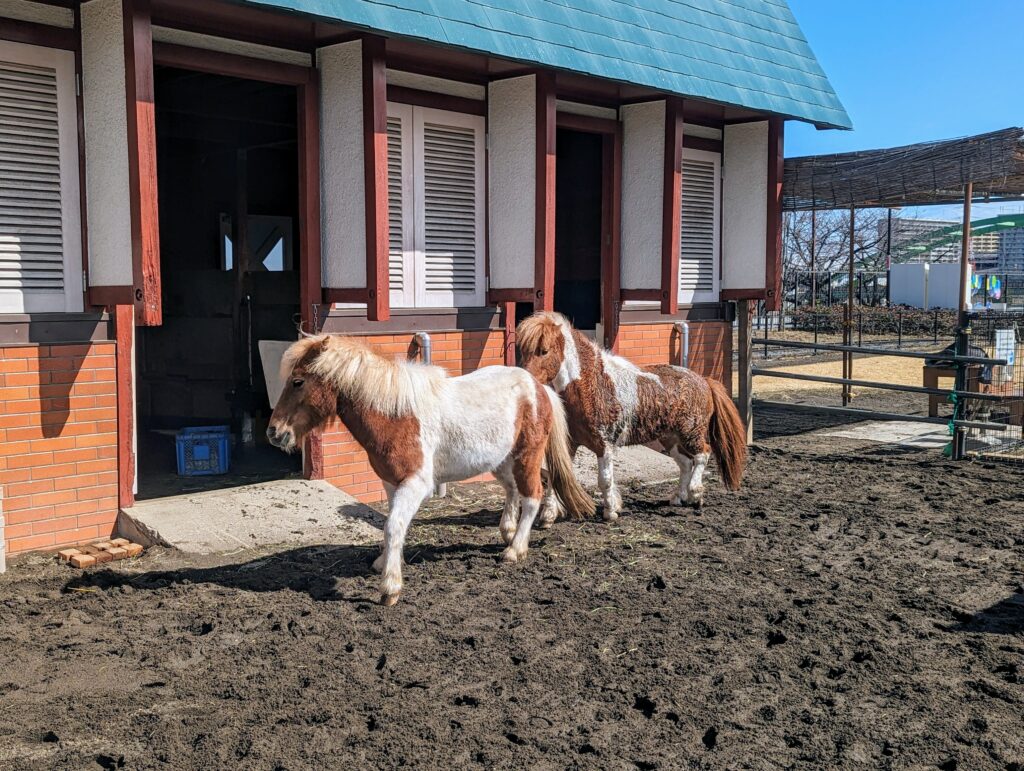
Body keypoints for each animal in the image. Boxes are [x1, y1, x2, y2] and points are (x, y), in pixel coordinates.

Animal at [268, 333, 598, 606]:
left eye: (298, 381)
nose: (274, 432)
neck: (396, 415)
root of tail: (538, 388)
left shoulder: (415, 484)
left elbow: (394, 526)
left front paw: (390, 588)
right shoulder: (392, 483)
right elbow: (392, 524)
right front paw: (384, 563)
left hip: (526, 456)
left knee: (532, 495)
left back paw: (515, 550)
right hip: (501, 462)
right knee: (515, 490)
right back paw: (510, 531)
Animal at [520, 313, 745, 524]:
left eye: (544, 350)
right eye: (522, 350)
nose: (526, 380)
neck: (591, 386)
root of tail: (704, 381)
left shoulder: (604, 445)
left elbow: (605, 480)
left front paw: (610, 511)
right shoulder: (570, 444)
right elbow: (556, 476)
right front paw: (548, 516)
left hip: (691, 434)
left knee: (702, 455)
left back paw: (696, 494)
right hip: (670, 439)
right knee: (685, 464)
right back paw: (678, 498)